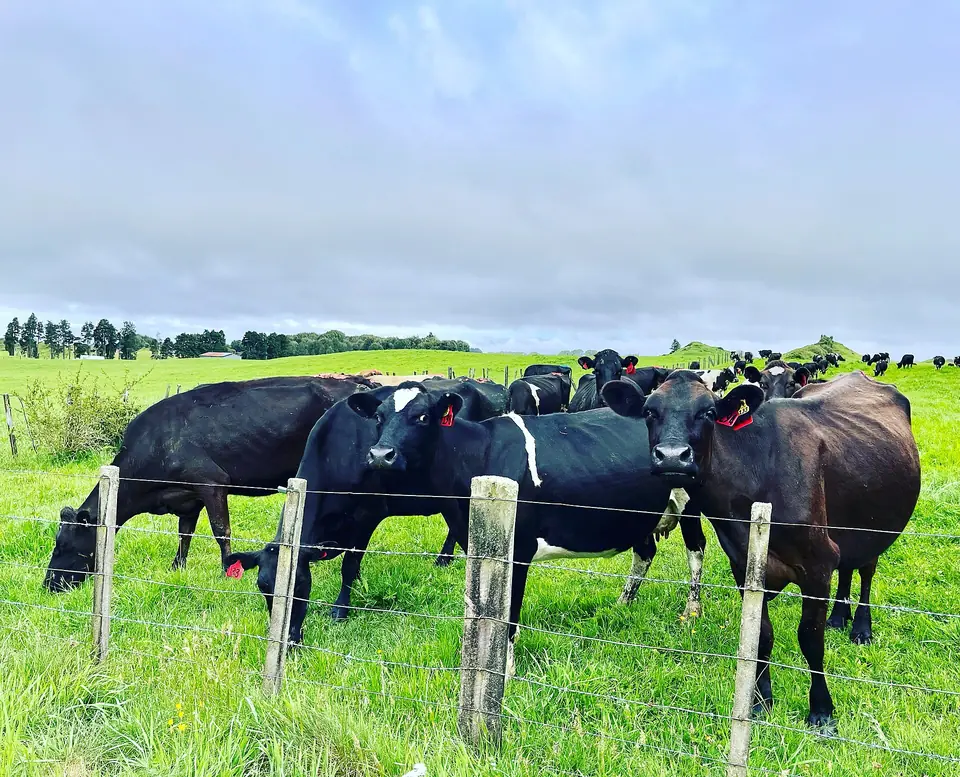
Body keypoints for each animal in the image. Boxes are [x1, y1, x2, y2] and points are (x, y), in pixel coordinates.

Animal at [43, 376, 379, 592]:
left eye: (63, 545)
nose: (48, 584)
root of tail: (362, 384)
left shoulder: (212, 483)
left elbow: (221, 531)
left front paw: (226, 571)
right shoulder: (186, 499)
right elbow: (185, 534)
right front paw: (176, 569)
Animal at [600, 370, 920, 732]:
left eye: (709, 412)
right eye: (650, 411)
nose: (671, 456)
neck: (756, 480)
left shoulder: (818, 564)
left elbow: (810, 638)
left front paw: (822, 710)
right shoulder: (744, 565)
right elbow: (761, 636)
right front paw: (760, 700)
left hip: (874, 529)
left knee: (865, 570)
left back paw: (860, 628)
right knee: (849, 567)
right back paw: (839, 616)